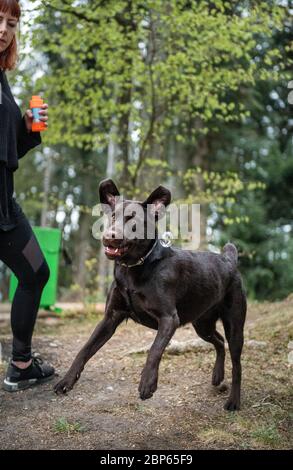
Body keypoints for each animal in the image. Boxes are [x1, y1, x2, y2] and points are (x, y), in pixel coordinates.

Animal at [53, 180, 245, 412]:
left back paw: (234, 401)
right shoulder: (110, 318)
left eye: (132, 219)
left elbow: (154, 350)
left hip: (234, 326)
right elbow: (84, 350)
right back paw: (217, 375)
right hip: (202, 324)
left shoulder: (169, 319)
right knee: (218, 341)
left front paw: (147, 383)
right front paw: (66, 381)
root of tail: (229, 260)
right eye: (113, 216)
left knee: (237, 364)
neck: (134, 267)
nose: (109, 236)